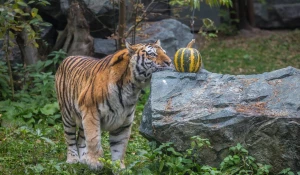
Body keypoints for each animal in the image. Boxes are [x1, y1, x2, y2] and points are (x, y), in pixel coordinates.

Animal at [54, 40, 171, 170]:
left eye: (165, 53)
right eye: (152, 54)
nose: (170, 62)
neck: (131, 88)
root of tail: (67, 58)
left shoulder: (124, 122)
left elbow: (119, 147)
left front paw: (119, 168)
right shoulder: (91, 113)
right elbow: (94, 140)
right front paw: (95, 163)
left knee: (81, 139)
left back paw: (84, 159)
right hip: (67, 116)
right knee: (70, 138)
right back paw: (73, 160)